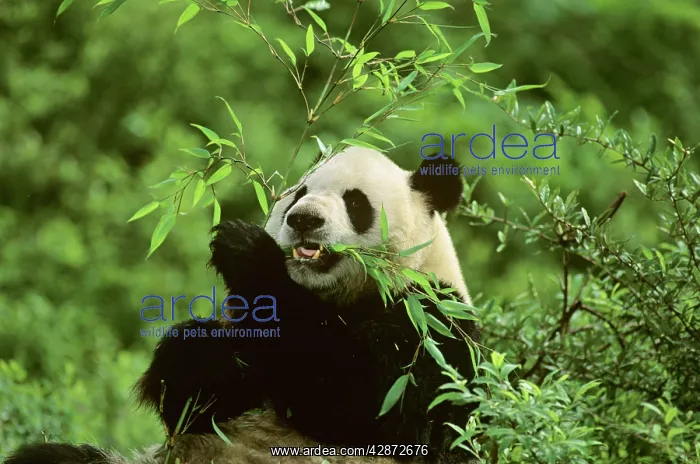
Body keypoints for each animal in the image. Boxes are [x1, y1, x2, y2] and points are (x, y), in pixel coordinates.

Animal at [5, 147, 480, 464]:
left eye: (355, 202)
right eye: (298, 193)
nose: (304, 219)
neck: (337, 297)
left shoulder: (432, 323)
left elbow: (361, 395)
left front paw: (246, 250)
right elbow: (196, 399)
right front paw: (201, 350)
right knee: (50, 457)